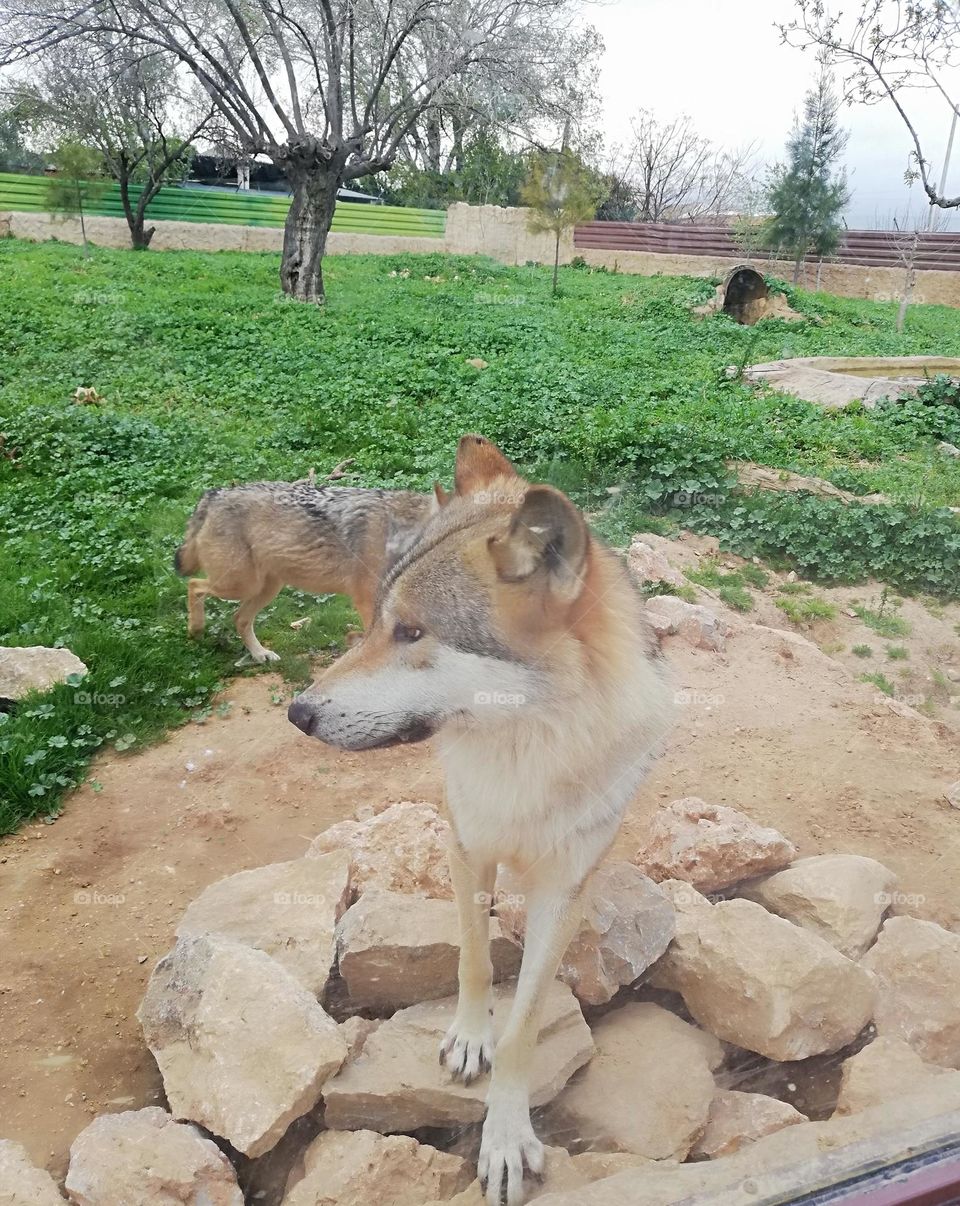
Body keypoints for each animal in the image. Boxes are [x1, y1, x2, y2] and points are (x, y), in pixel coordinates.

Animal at [174, 481, 435, 662]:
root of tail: (213, 494)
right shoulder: (368, 601)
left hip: (267, 588)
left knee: (239, 618)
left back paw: (260, 654)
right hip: (240, 585)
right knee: (194, 585)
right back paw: (196, 629)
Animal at [287, 436, 674, 1205]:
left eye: (411, 632)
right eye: (374, 622)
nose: (298, 712)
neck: (524, 754)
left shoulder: (561, 889)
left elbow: (525, 1023)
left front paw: (504, 1138)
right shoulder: (466, 845)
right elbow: (471, 959)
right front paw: (470, 1040)